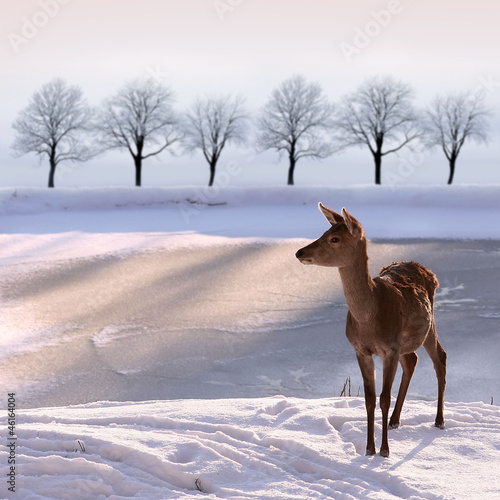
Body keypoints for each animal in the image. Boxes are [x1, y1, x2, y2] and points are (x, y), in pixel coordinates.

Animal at [294, 204, 448, 458]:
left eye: (335, 238)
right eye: (324, 232)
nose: (299, 252)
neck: (369, 320)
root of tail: (426, 270)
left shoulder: (390, 350)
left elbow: (384, 398)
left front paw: (384, 450)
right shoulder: (361, 350)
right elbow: (369, 399)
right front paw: (368, 448)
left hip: (428, 325)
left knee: (440, 358)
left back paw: (439, 420)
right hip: (406, 341)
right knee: (413, 360)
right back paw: (395, 420)